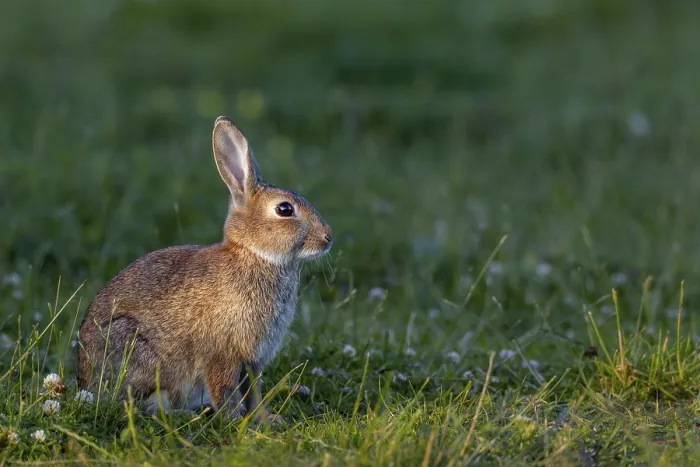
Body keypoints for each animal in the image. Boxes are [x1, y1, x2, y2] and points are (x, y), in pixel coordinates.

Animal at [75, 116, 333, 420]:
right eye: (284, 209)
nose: (328, 237)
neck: (255, 255)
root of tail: (83, 382)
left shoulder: (254, 359)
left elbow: (254, 393)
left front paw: (265, 420)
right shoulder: (222, 355)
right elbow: (225, 390)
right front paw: (235, 422)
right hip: (132, 348)